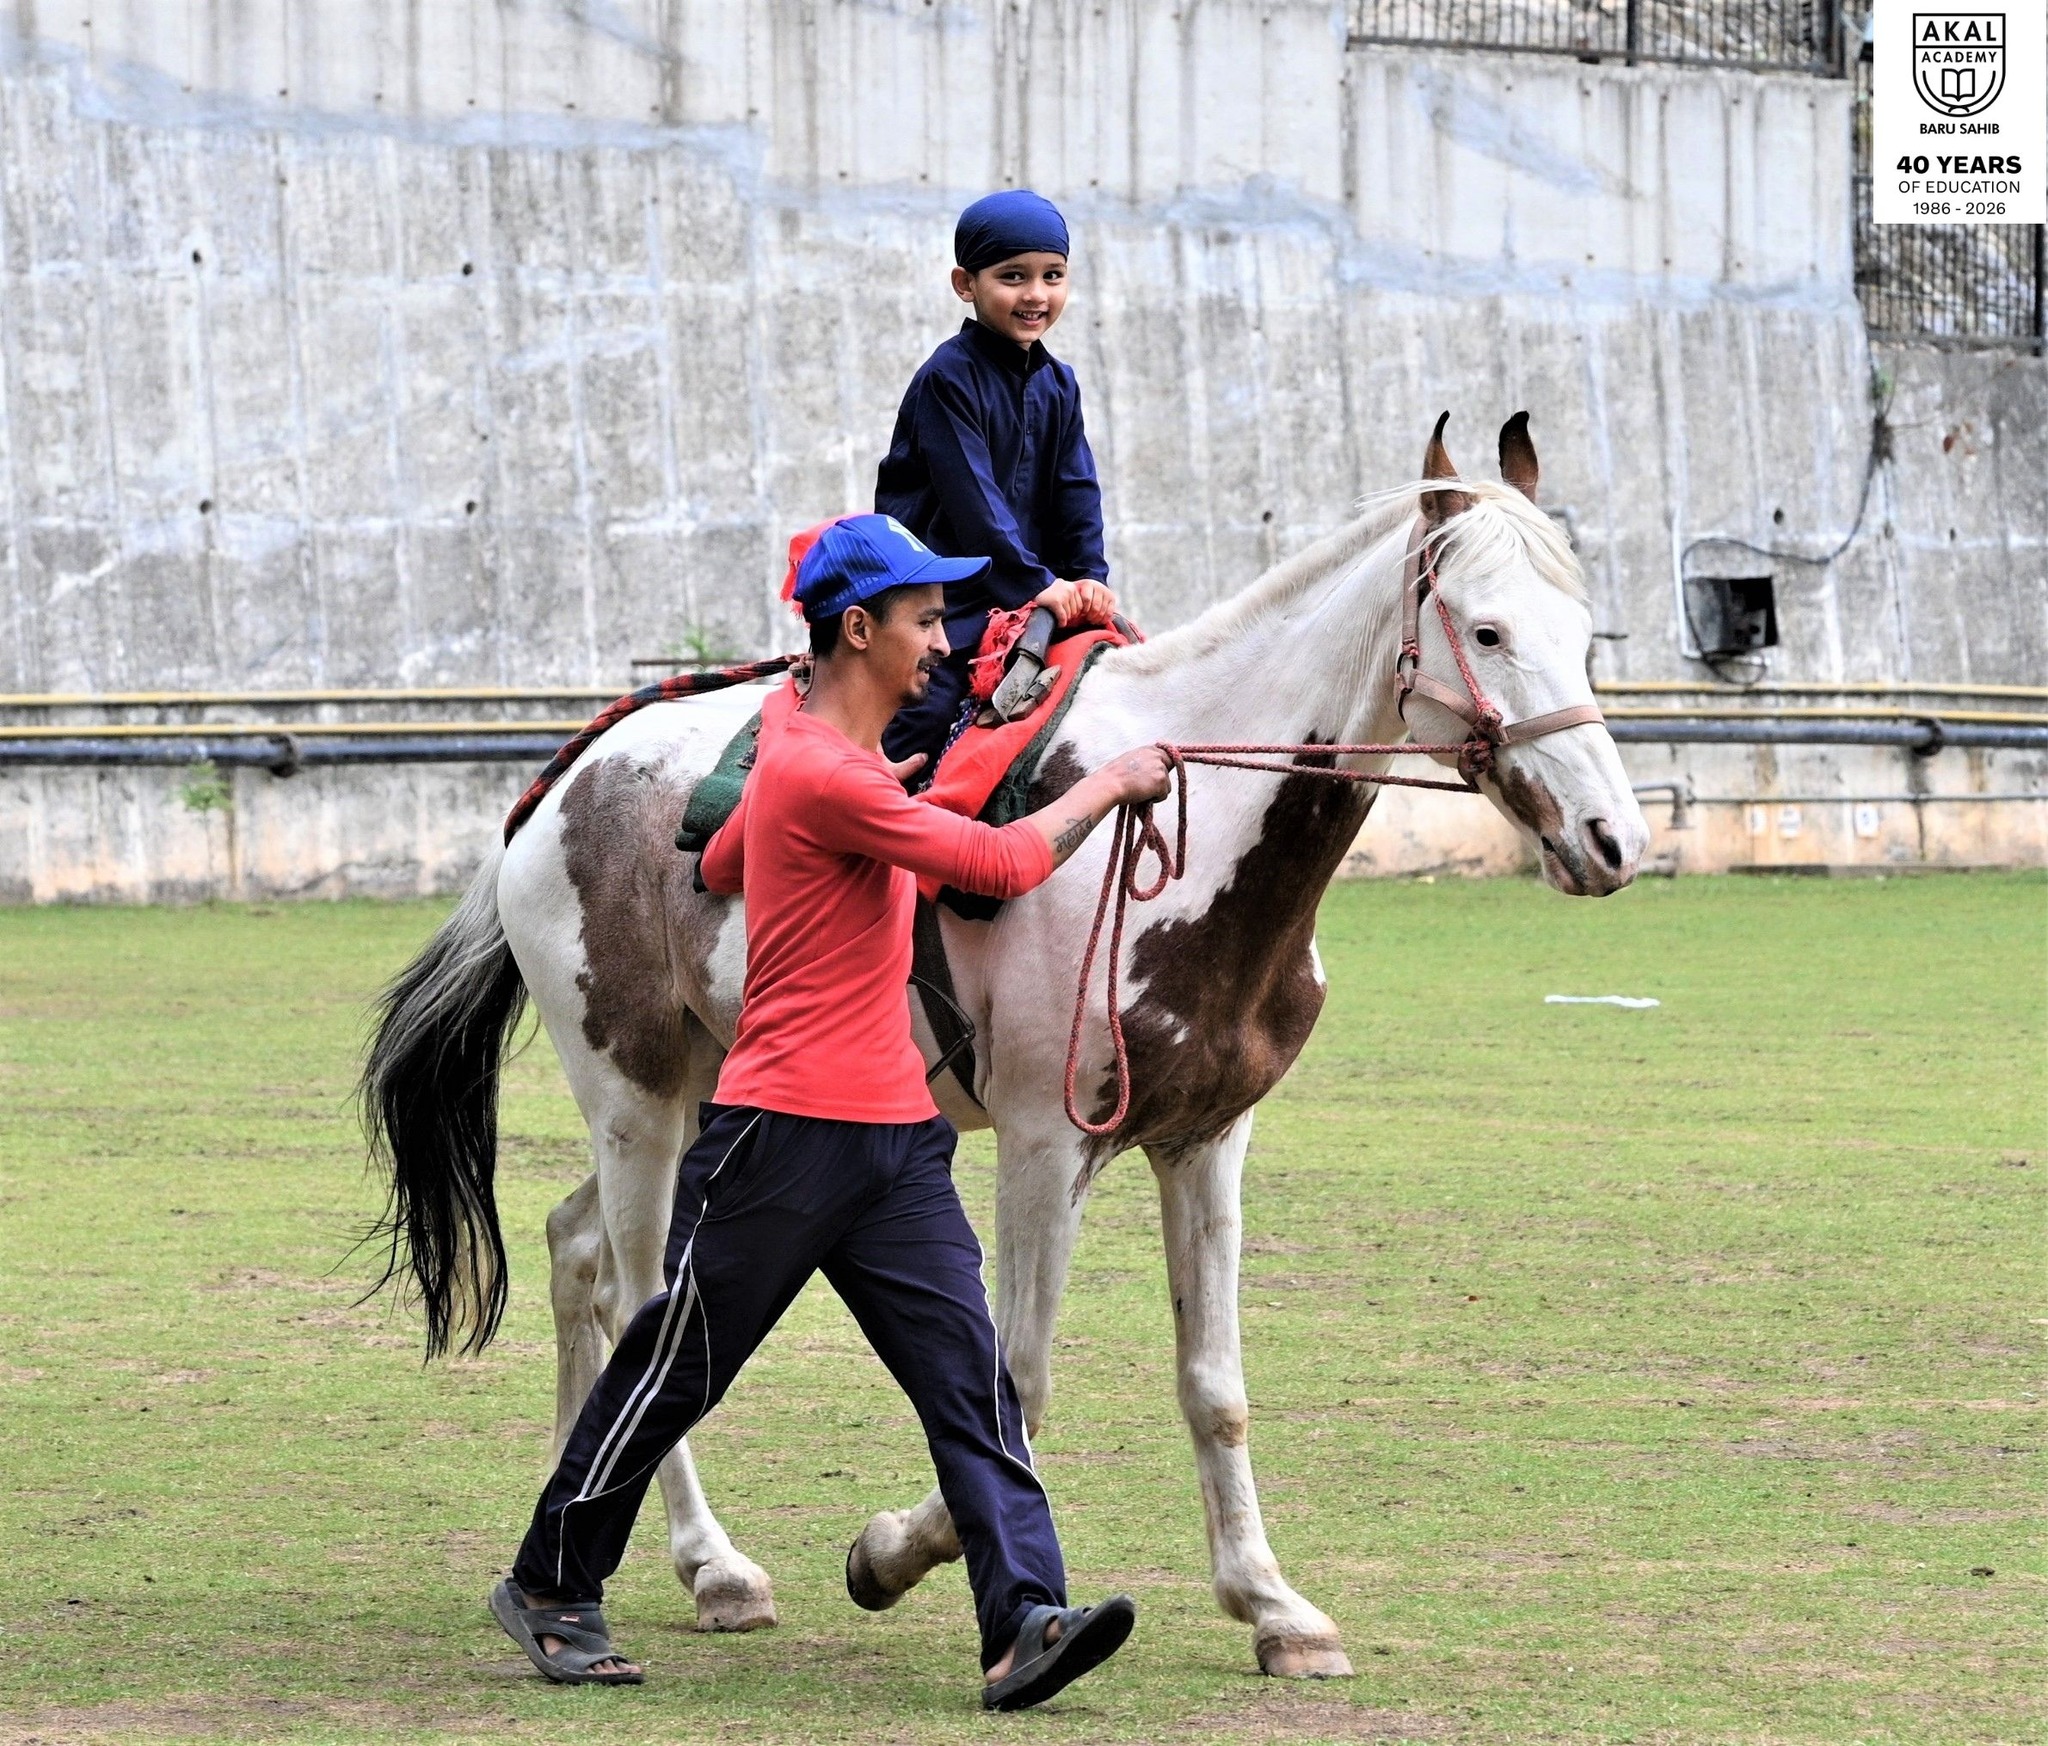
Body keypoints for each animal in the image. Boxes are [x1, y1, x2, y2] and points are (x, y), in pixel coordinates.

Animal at [363, 414, 1648, 1679]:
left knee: (573, 1250)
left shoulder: (1205, 1142)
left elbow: (1213, 1385)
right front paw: (892, 1550)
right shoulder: (1043, 1143)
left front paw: (1272, 1606)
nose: (1612, 839)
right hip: (633, 1094)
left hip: (691, 1100)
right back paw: (710, 1566)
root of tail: (563, 782)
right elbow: (1014, 1382)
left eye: (1581, 631)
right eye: (1484, 628)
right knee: (639, 1298)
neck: (1196, 844)